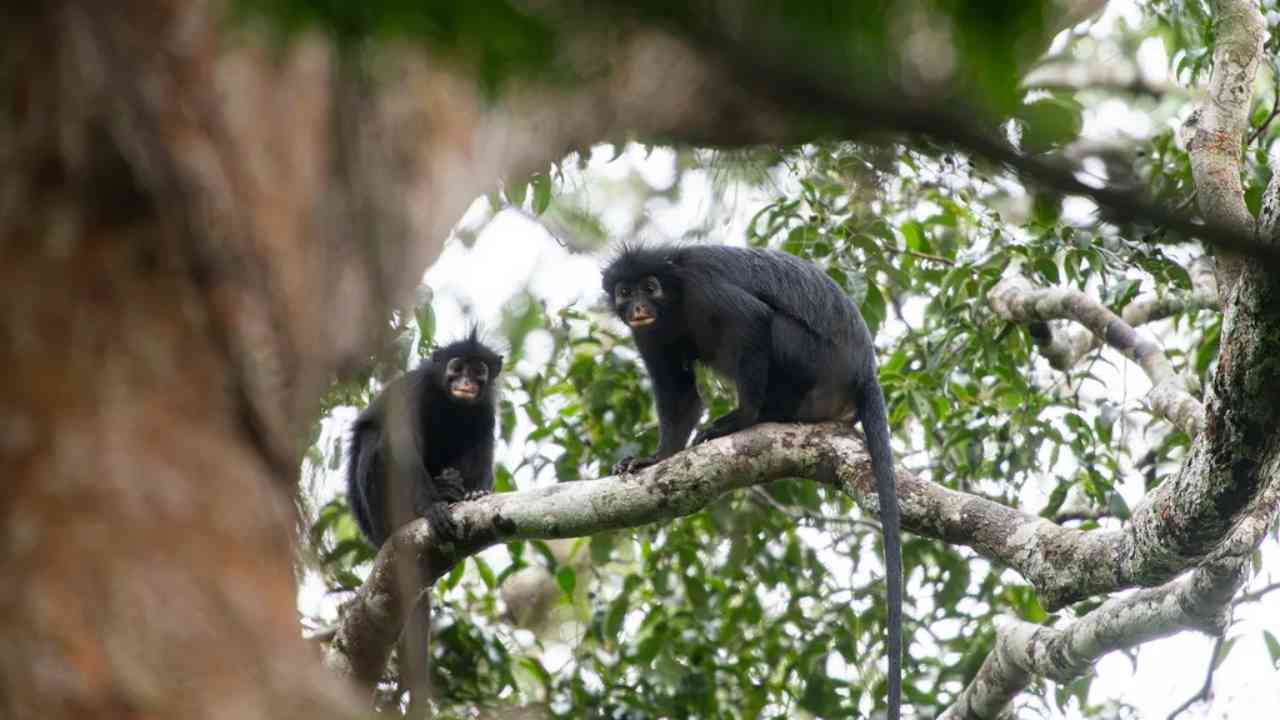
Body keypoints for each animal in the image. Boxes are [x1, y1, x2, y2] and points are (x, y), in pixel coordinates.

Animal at [346, 329, 504, 548]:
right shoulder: (414, 390)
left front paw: (477, 491)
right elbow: (401, 444)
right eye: (457, 368)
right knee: (372, 438)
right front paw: (431, 507)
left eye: (477, 372)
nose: (466, 382)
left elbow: (483, 448)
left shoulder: (485, 409)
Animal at [602, 243, 903, 719]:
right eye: (625, 291)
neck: (675, 300)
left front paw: (741, 419)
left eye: (650, 287)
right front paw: (655, 458)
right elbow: (679, 395)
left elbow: (752, 321)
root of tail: (864, 370)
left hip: (814, 361)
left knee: (772, 328)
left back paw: (763, 415)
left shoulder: (703, 288)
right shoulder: (649, 336)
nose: (638, 307)